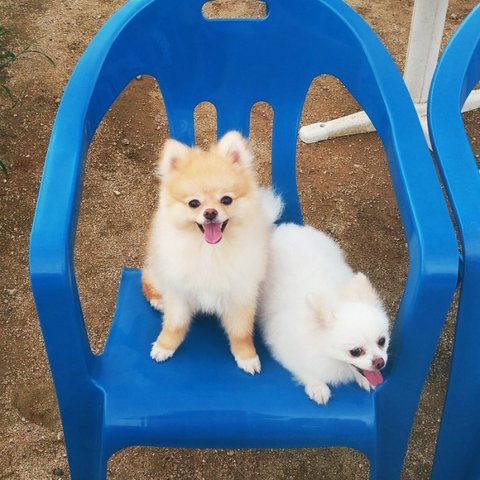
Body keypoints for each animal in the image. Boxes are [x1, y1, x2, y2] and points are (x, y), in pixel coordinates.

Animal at [142, 131, 282, 374]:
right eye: (193, 203)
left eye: (226, 199)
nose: (209, 212)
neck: (211, 251)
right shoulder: (179, 291)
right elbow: (174, 324)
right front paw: (164, 346)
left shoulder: (240, 293)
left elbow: (241, 332)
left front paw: (247, 356)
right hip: (157, 271)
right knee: (147, 280)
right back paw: (158, 300)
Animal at [258, 223, 390, 404]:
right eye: (355, 352)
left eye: (382, 341)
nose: (379, 362)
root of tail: (284, 228)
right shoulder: (284, 348)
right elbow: (304, 368)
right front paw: (317, 387)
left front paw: (363, 378)